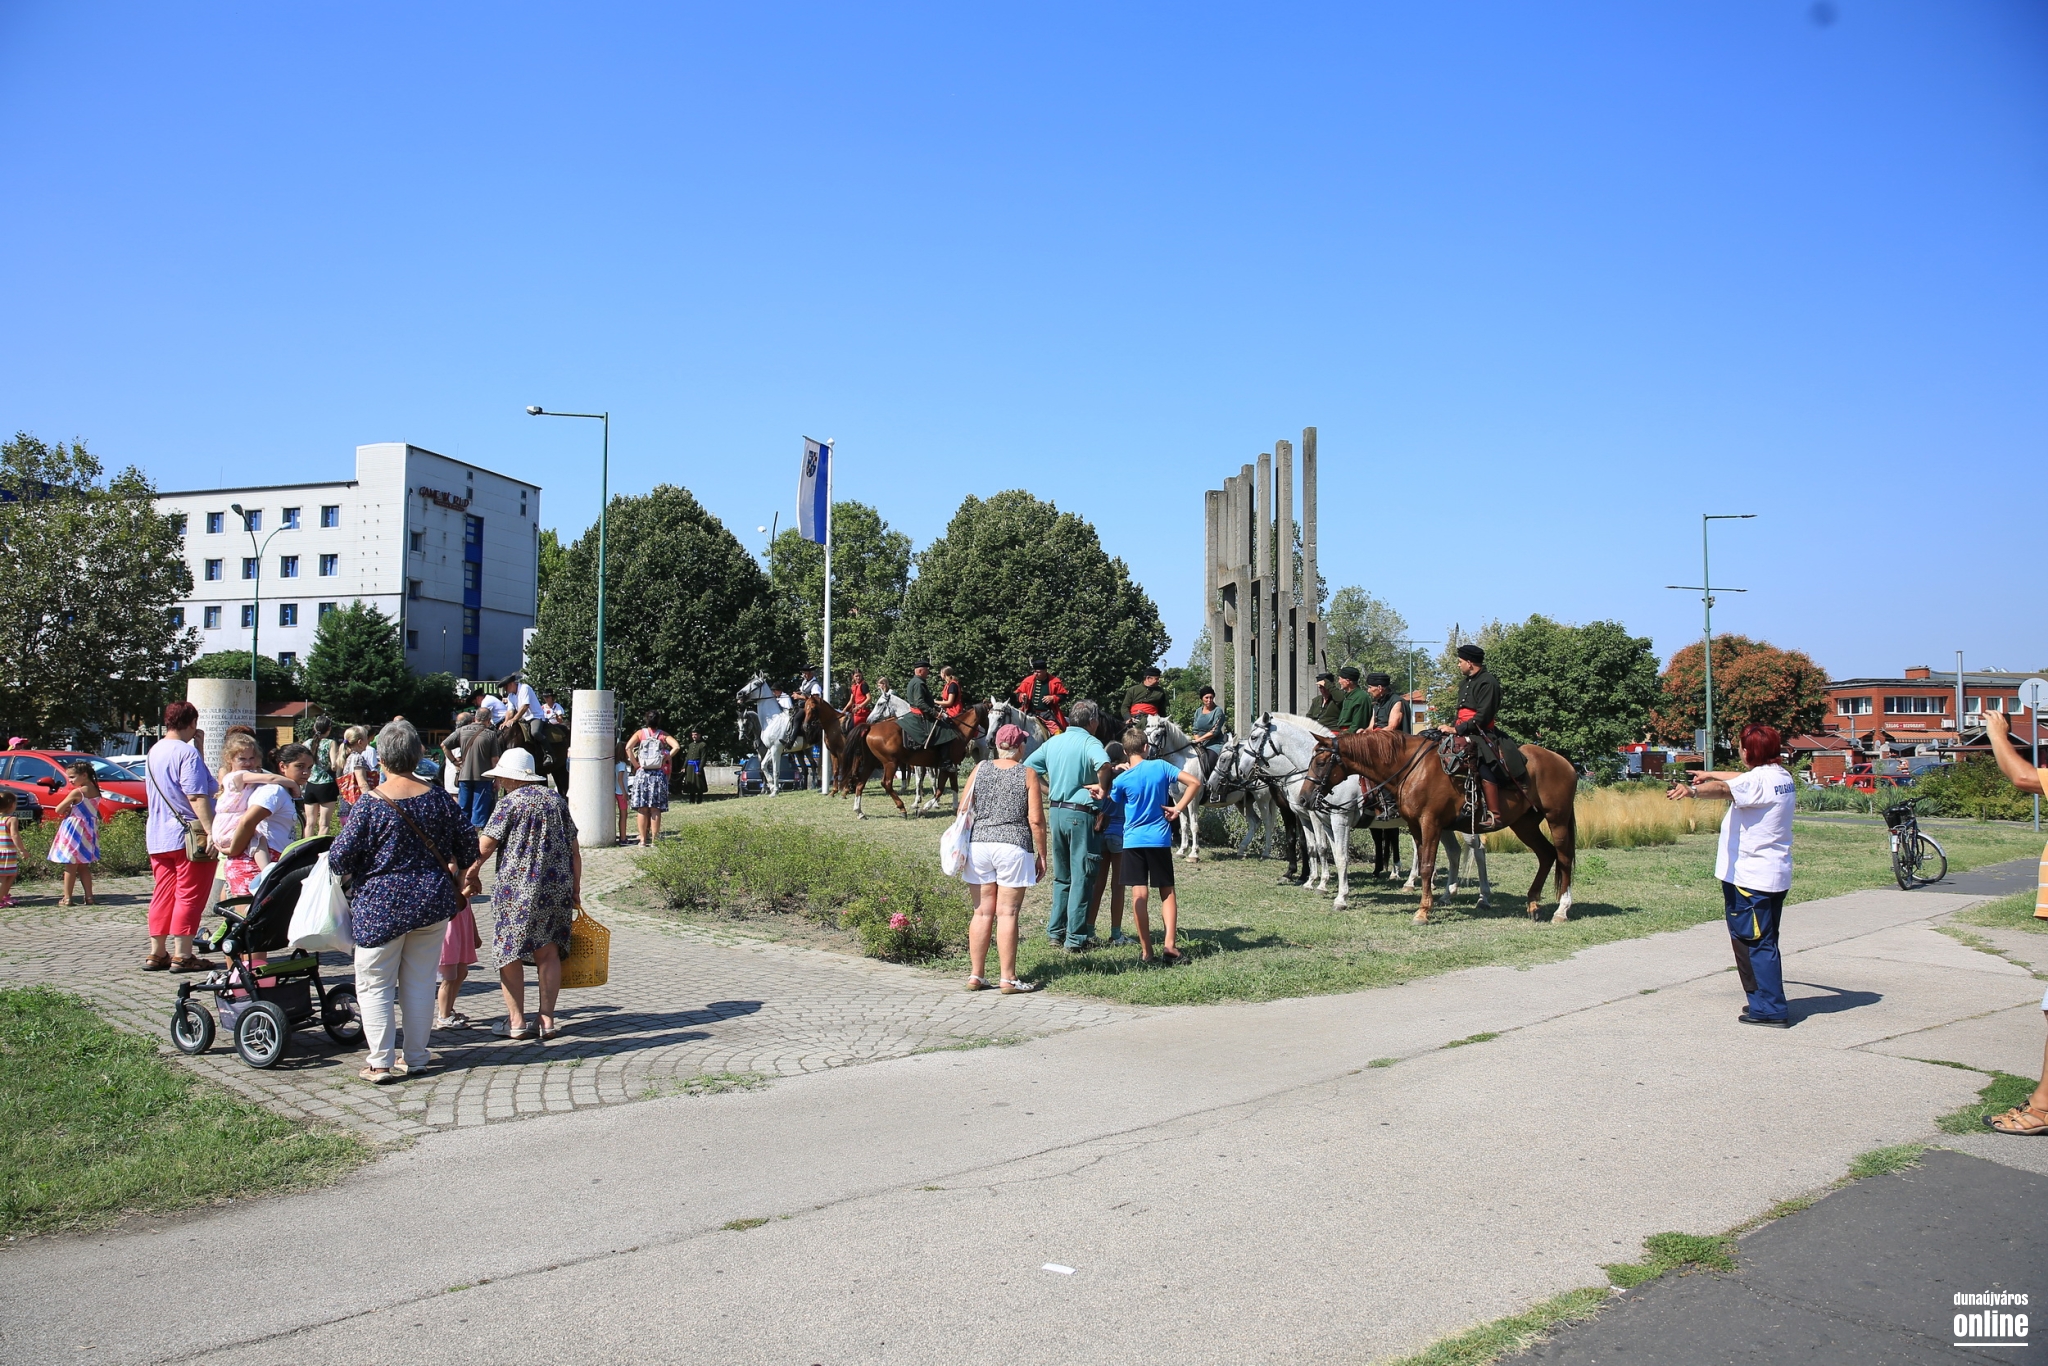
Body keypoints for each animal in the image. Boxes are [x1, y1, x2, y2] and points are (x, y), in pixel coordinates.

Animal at [1312, 728, 1577, 923]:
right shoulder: (1416, 826)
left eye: (1321, 762)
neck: (1412, 768)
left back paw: (1561, 910)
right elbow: (1423, 864)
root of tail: (1565, 763)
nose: (1306, 797)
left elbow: (1427, 866)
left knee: (1563, 857)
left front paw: (1422, 912)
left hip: (1557, 820)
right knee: (1546, 854)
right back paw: (1532, 904)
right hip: (1524, 824)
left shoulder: (1430, 823)